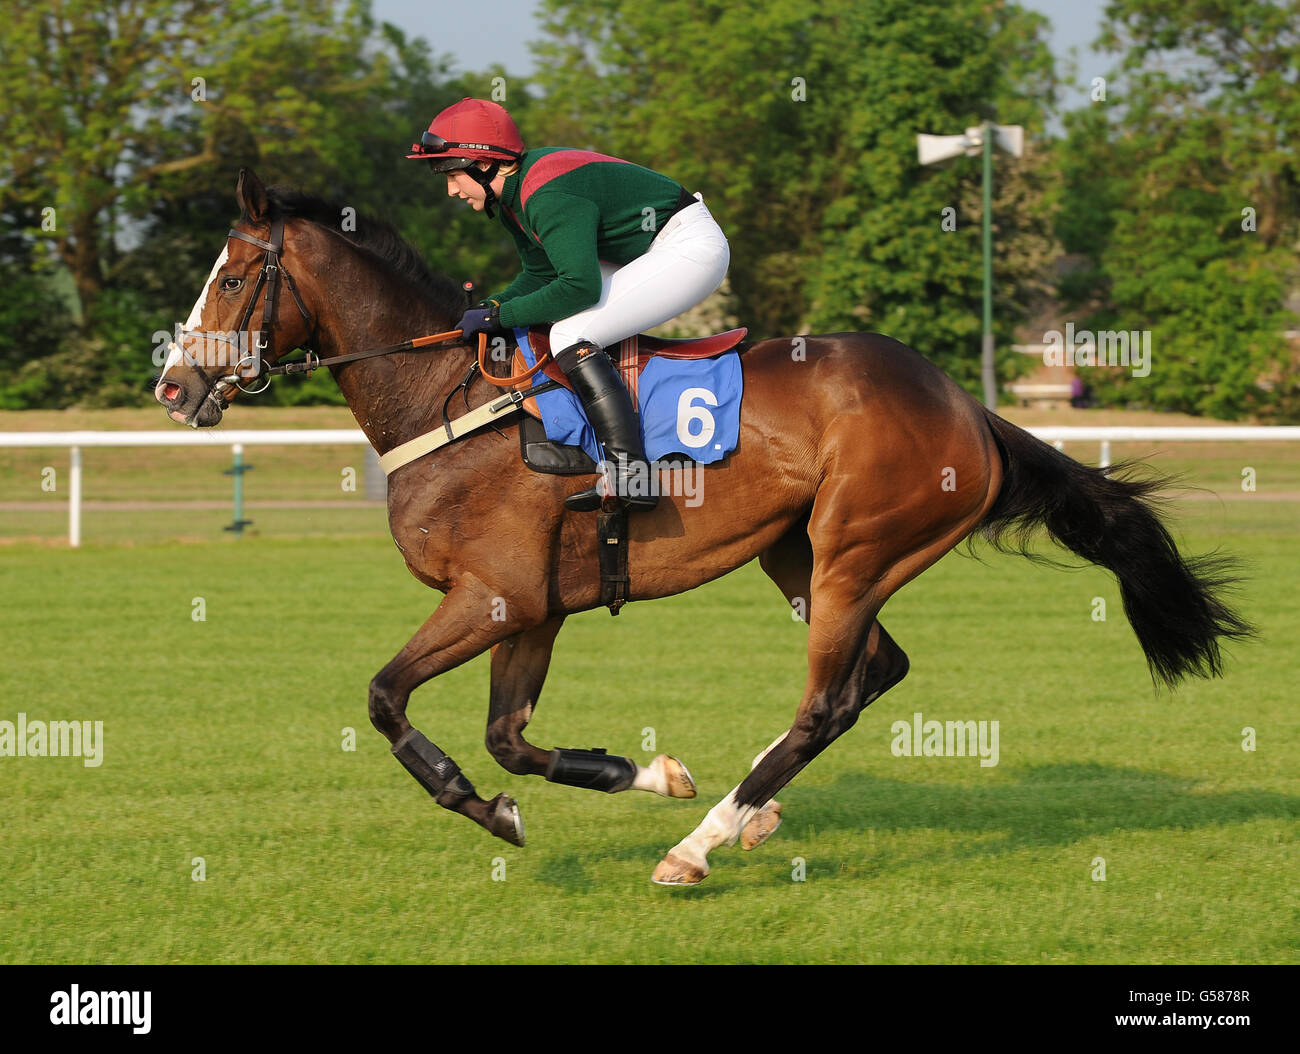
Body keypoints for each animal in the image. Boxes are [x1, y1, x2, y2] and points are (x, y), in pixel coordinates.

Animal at [154, 168, 1252, 885]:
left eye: (232, 278)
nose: (173, 387)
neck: (449, 400)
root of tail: (966, 407)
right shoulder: (533, 608)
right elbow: (511, 736)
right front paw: (641, 772)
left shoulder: (491, 594)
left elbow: (388, 700)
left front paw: (495, 812)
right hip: (800, 554)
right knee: (873, 673)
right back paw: (746, 817)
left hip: (855, 549)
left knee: (826, 701)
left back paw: (699, 847)